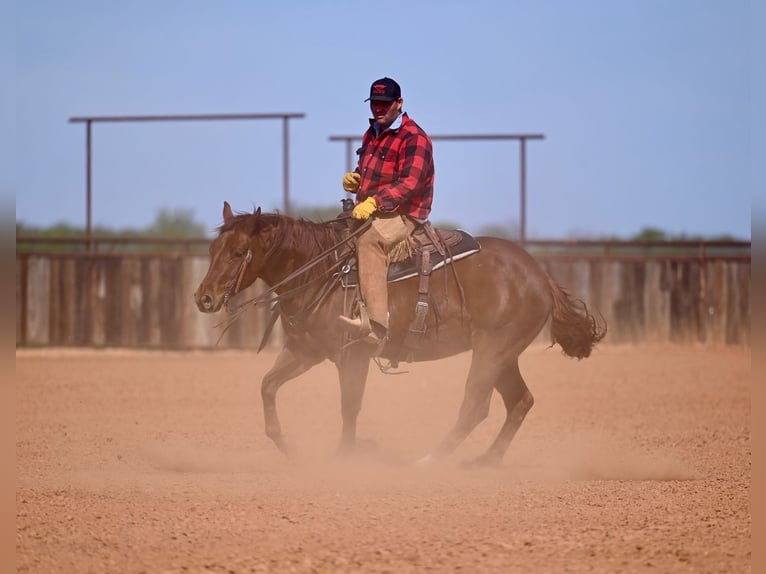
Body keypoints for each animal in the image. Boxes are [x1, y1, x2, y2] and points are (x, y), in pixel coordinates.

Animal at [194, 201, 606, 467]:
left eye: (238, 252)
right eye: (213, 248)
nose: (204, 298)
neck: (324, 271)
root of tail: (539, 275)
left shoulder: (353, 355)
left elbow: (349, 406)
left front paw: (346, 457)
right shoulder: (306, 352)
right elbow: (267, 386)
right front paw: (290, 448)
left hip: (493, 350)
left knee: (475, 405)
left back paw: (430, 460)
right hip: (503, 355)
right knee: (519, 401)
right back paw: (485, 460)